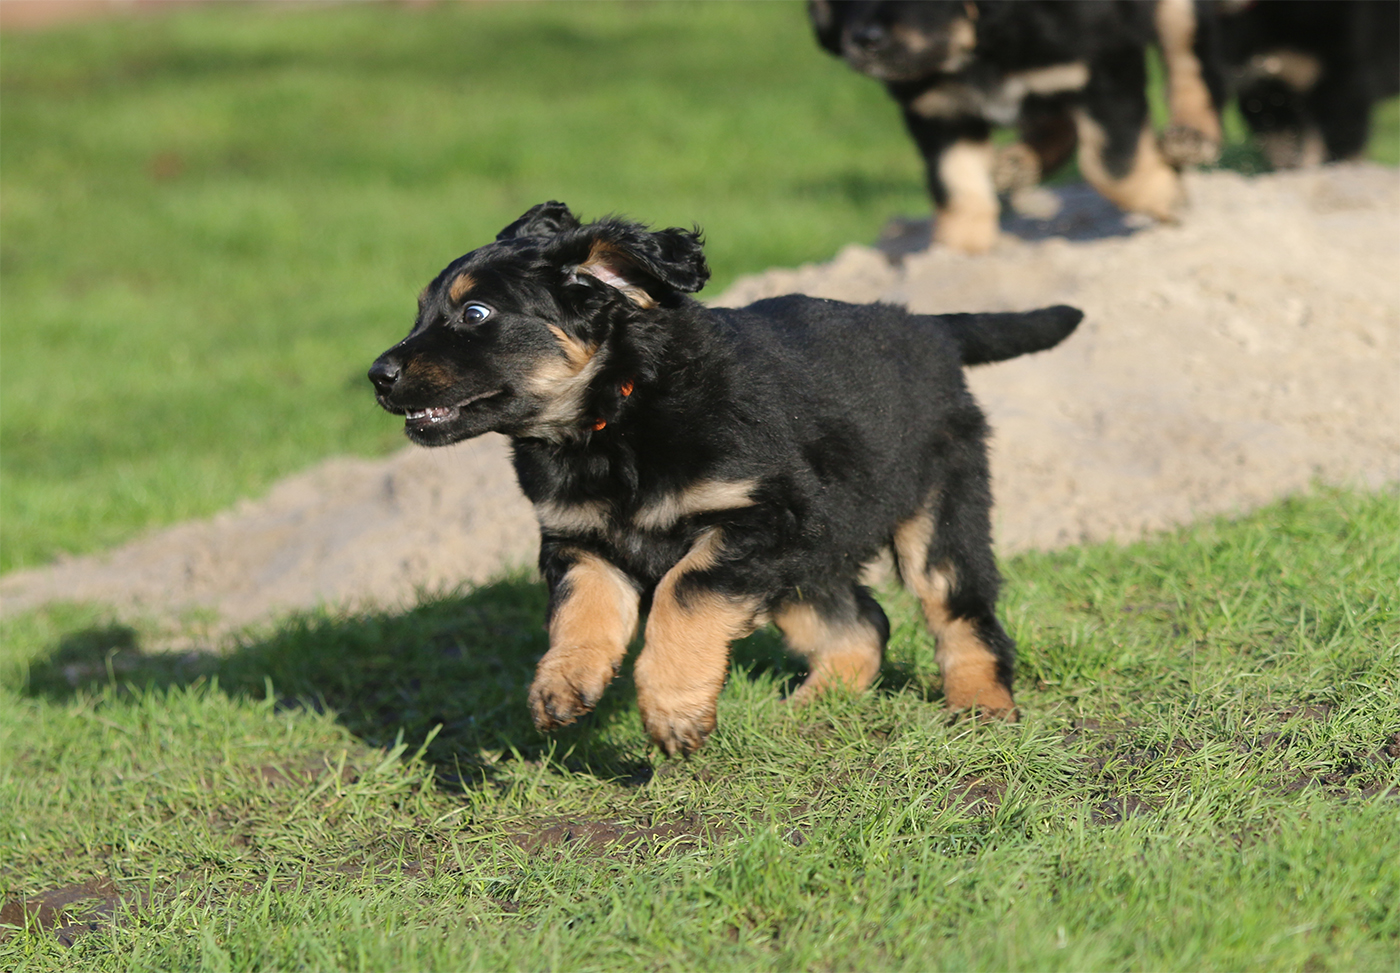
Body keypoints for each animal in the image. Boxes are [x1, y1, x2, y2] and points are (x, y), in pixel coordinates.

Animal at [369, 203, 1081, 756]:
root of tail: (927, 325)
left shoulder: (761, 520)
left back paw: (981, 707)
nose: (377, 375)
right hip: (811, 556)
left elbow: (682, 596)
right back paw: (805, 712)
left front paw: (671, 709)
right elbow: (583, 609)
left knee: (961, 613)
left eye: (475, 314)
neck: (616, 415)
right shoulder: (581, 540)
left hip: (930, 514)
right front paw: (562, 684)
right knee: (862, 625)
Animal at [809, 1, 1224, 252]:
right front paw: (958, 253)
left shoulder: (1103, 63)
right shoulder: (936, 109)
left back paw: (1192, 136)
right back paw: (1018, 163)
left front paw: (1168, 197)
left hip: (1174, 17)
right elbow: (955, 182)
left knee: (1189, 65)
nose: (864, 41)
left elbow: (1111, 164)